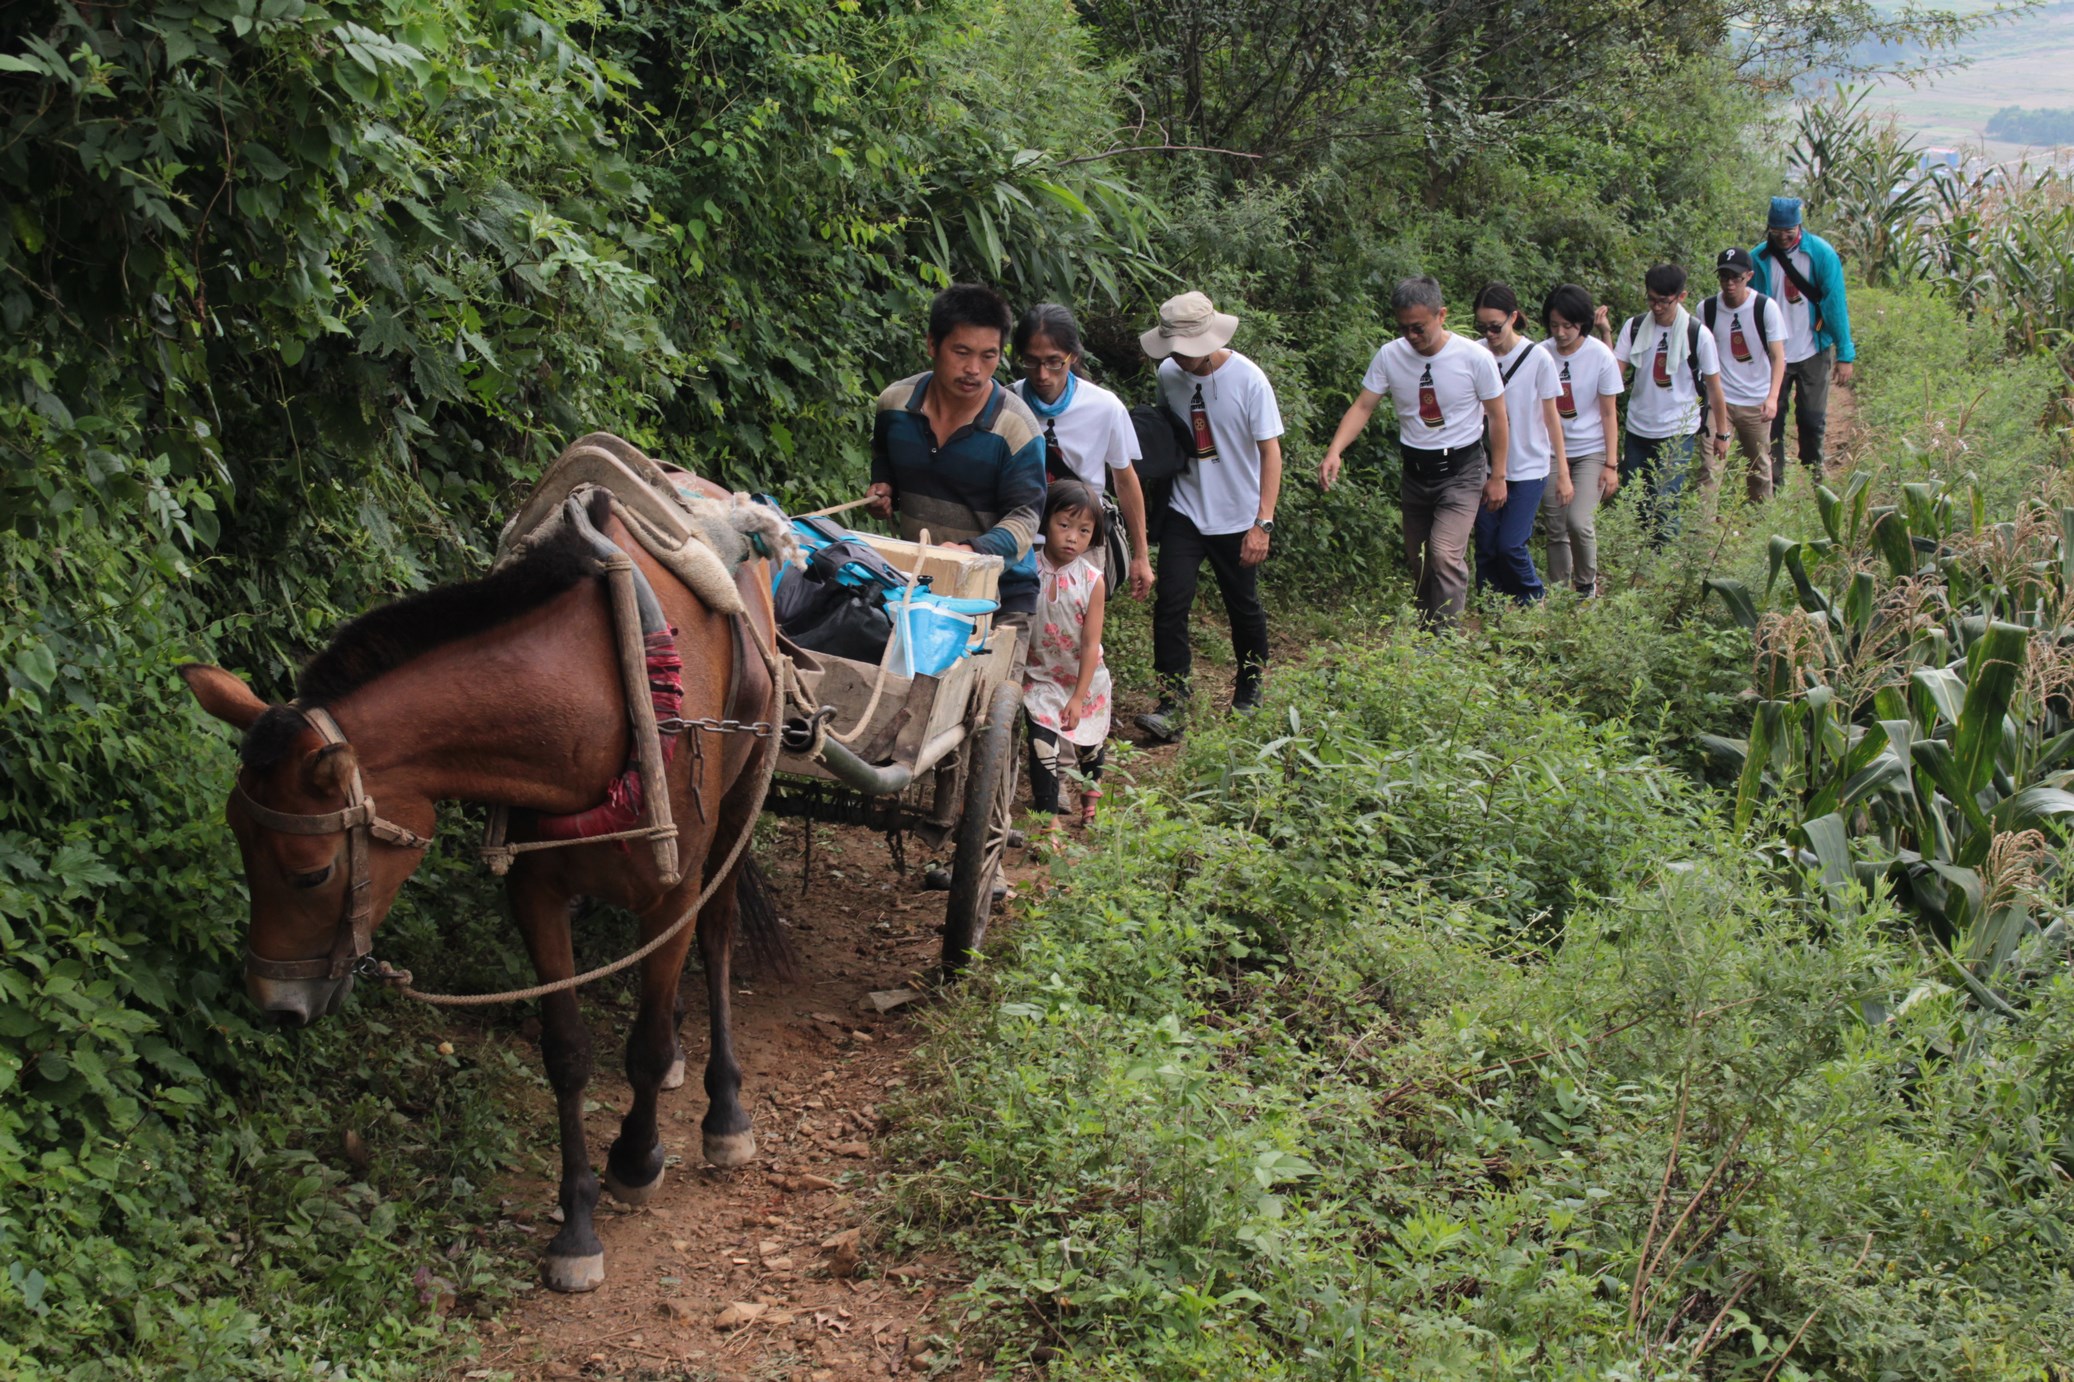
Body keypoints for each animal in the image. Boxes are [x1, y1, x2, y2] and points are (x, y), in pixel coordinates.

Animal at [174, 500, 779, 1286]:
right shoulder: (535, 891)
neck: (601, 696)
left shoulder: (672, 894)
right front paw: (576, 1226)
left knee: (718, 937)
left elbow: (643, 1045)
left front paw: (637, 1160)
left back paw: (723, 1111)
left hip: (739, 802)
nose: (275, 1004)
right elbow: (567, 1053)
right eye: (238, 844)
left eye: (310, 873)